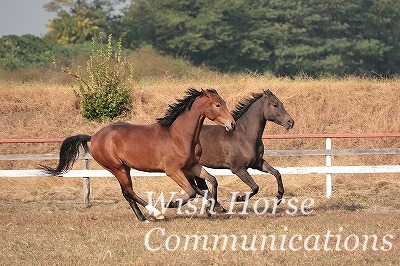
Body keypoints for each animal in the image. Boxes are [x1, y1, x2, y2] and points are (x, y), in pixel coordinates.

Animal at [41, 88, 234, 221]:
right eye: (218, 104)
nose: (232, 124)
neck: (180, 136)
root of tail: (93, 137)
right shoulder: (173, 171)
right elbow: (192, 191)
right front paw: (171, 204)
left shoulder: (193, 166)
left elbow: (211, 182)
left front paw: (214, 209)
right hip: (117, 168)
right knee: (129, 191)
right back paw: (156, 213)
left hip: (123, 168)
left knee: (127, 193)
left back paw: (142, 217)